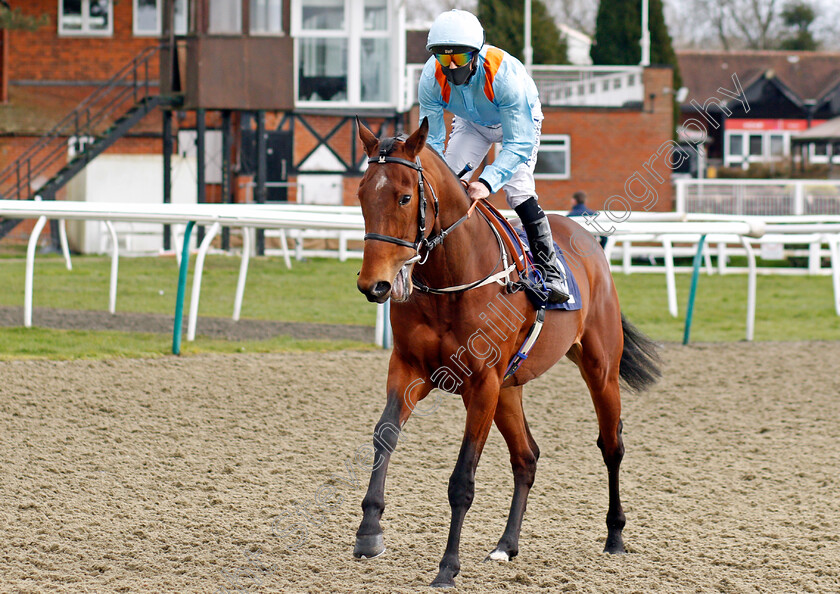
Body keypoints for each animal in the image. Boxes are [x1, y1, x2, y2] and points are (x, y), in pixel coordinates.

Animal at [352, 118, 660, 584]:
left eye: (405, 197)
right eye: (362, 195)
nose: (375, 284)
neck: (452, 279)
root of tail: (587, 239)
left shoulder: (482, 384)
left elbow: (462, 478)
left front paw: (448, 567)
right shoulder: (410, 368)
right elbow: (385, 433)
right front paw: (369, 532)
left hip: (599, 369)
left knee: (612, 446)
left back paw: (615, 536)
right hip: (510, 388)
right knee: (526, 457)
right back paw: (506, 545)